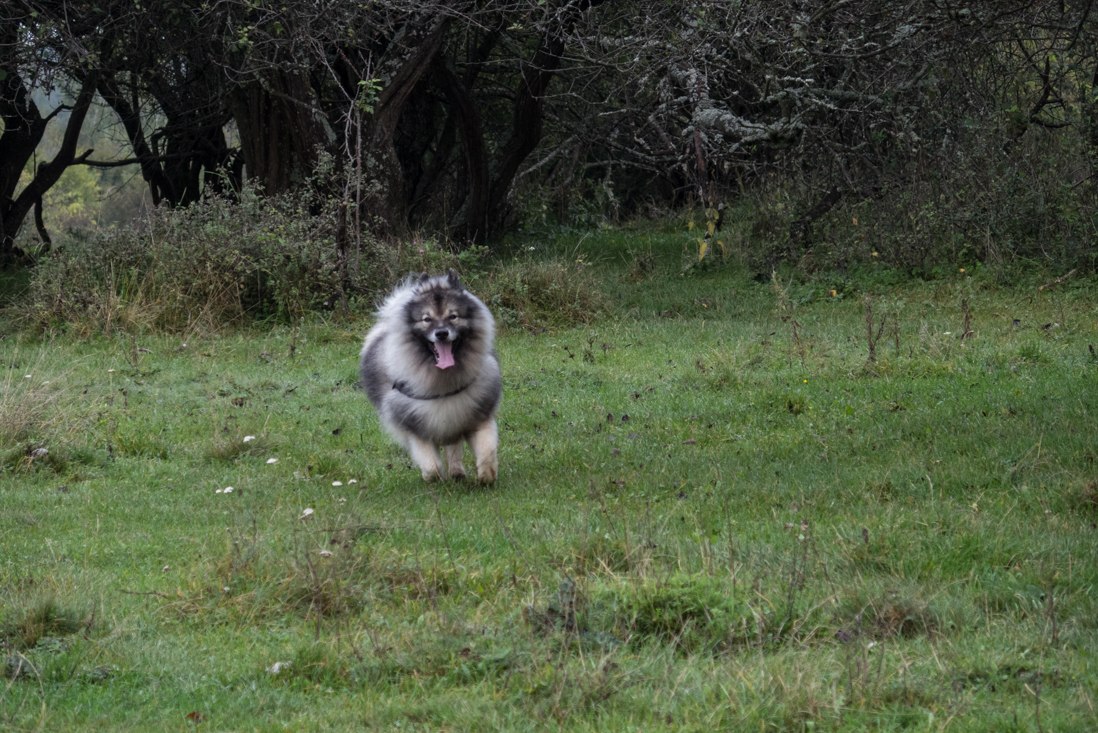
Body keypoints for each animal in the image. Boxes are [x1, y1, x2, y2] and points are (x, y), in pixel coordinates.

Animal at [360, 272, 502, 482]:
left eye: (453, 316)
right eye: (427, 319)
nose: (441, 333)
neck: (443, 382)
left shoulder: (478, 416)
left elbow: (487, 451)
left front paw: (487, 476)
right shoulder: (415, 428)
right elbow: (432, 465)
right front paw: (433, 478)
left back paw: (457, 472)